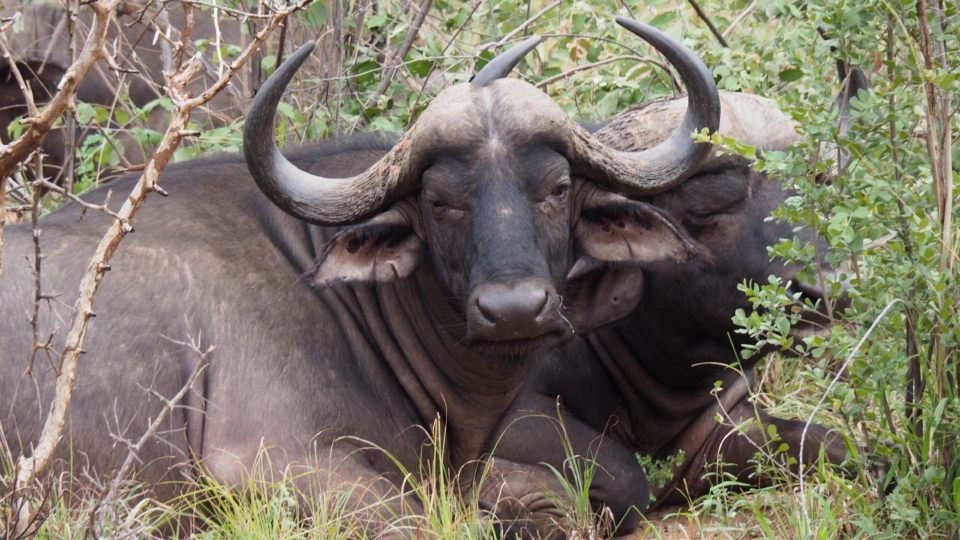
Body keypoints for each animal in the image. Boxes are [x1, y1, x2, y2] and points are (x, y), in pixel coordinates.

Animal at [492, 69, 872, 520]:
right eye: (708, 206)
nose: (828, 292)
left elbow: (833, 443)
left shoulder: (723, 425)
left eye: (815, 194)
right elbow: (623, 476)